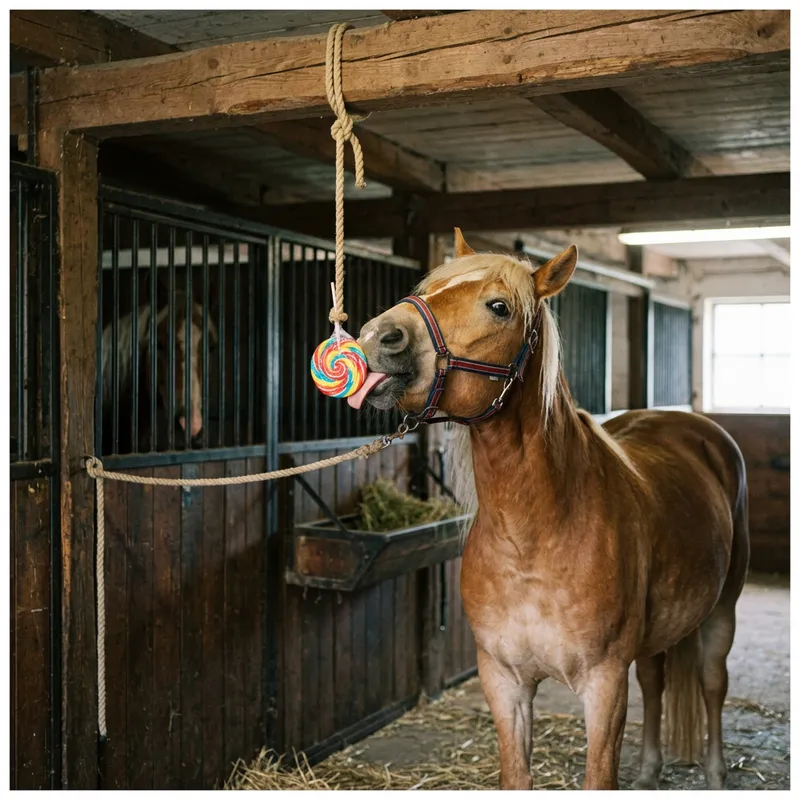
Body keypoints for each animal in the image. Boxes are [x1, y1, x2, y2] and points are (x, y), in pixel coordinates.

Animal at [349, 229, 749, 790]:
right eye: (427, 290)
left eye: (498, 306)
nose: (376, 336)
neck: (535, 536)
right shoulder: (503, 682)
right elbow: (516, 774)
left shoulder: (604, 687)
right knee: (655, 681)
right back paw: (650, 770)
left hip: (721, 612)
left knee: (713, 685)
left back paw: (714, 772)